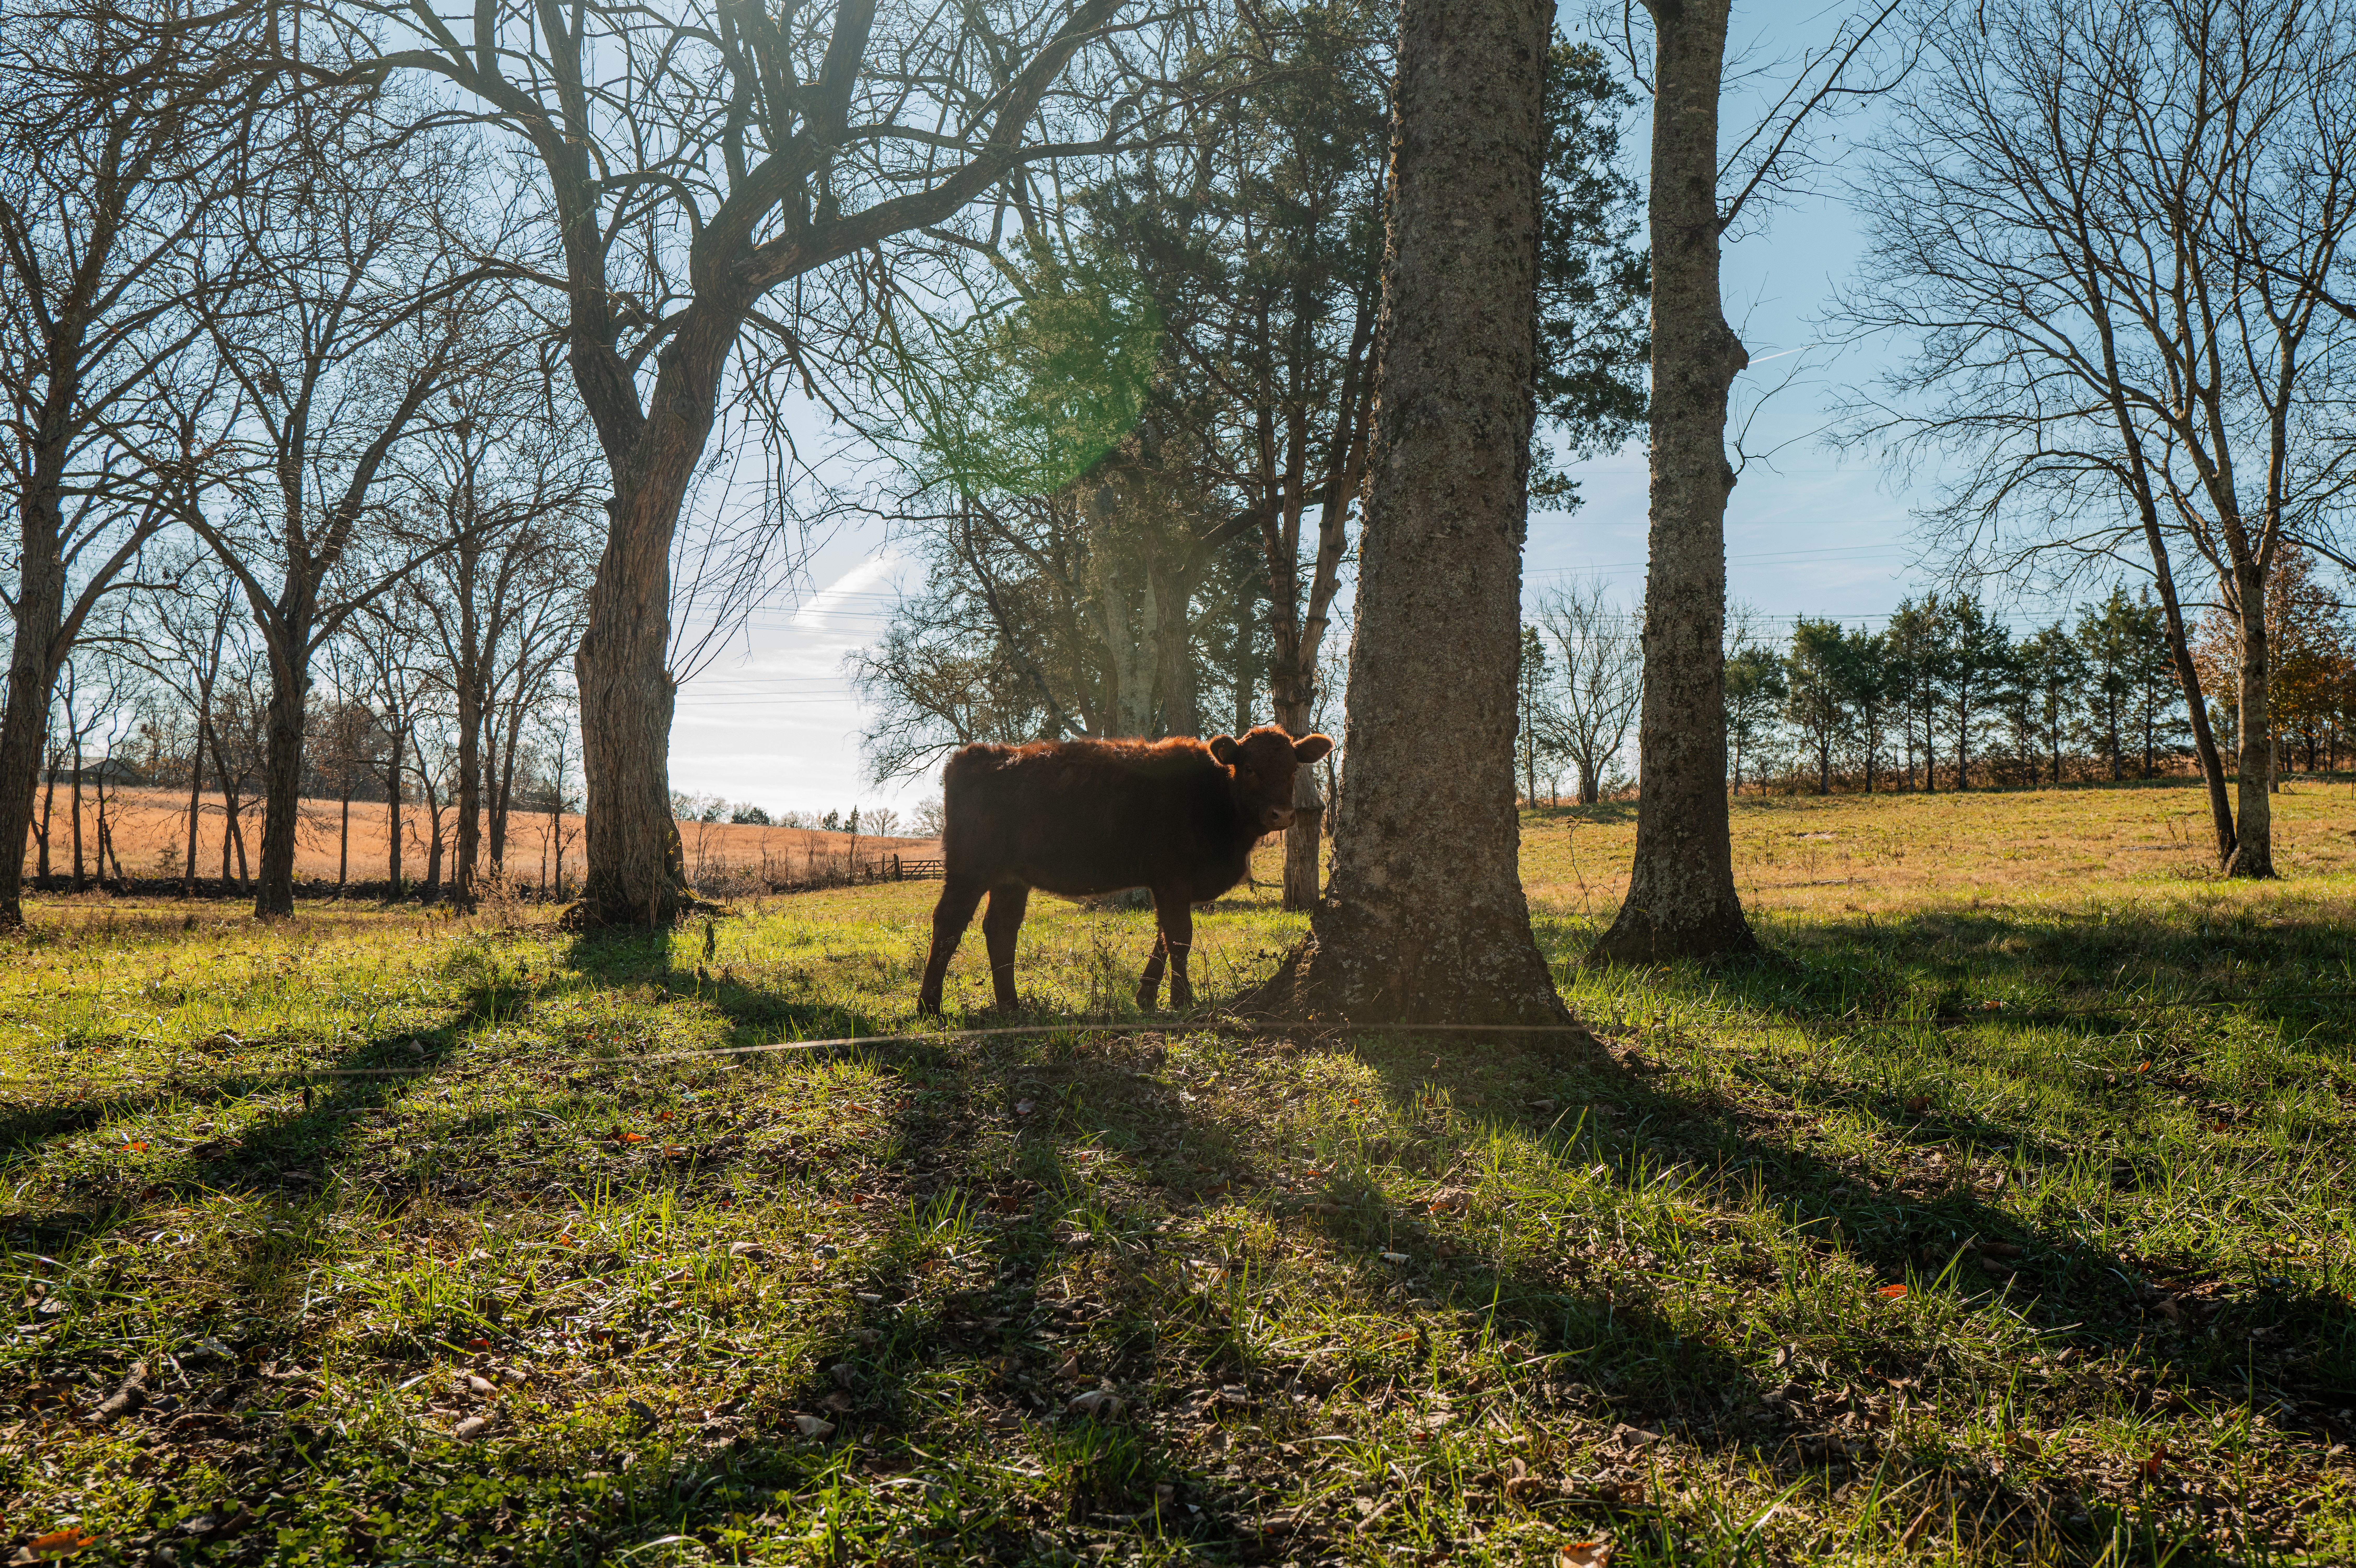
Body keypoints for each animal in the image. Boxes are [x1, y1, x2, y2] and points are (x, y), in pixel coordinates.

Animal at [916, 725, 1334, 1015]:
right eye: (1249, 768)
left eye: (1293, 769)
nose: (1282, 815)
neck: (1215, 793)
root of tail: (978, 754)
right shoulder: (1171, 878)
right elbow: (1180, 936)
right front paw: (1181, 1001)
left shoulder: (1173, 886)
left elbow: (1165, 936)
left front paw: (1146, 996)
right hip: (969, 869)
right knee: (949, 924)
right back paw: (929, 1007)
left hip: (1010, 879)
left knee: (1001, 929)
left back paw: (1011, 1007)